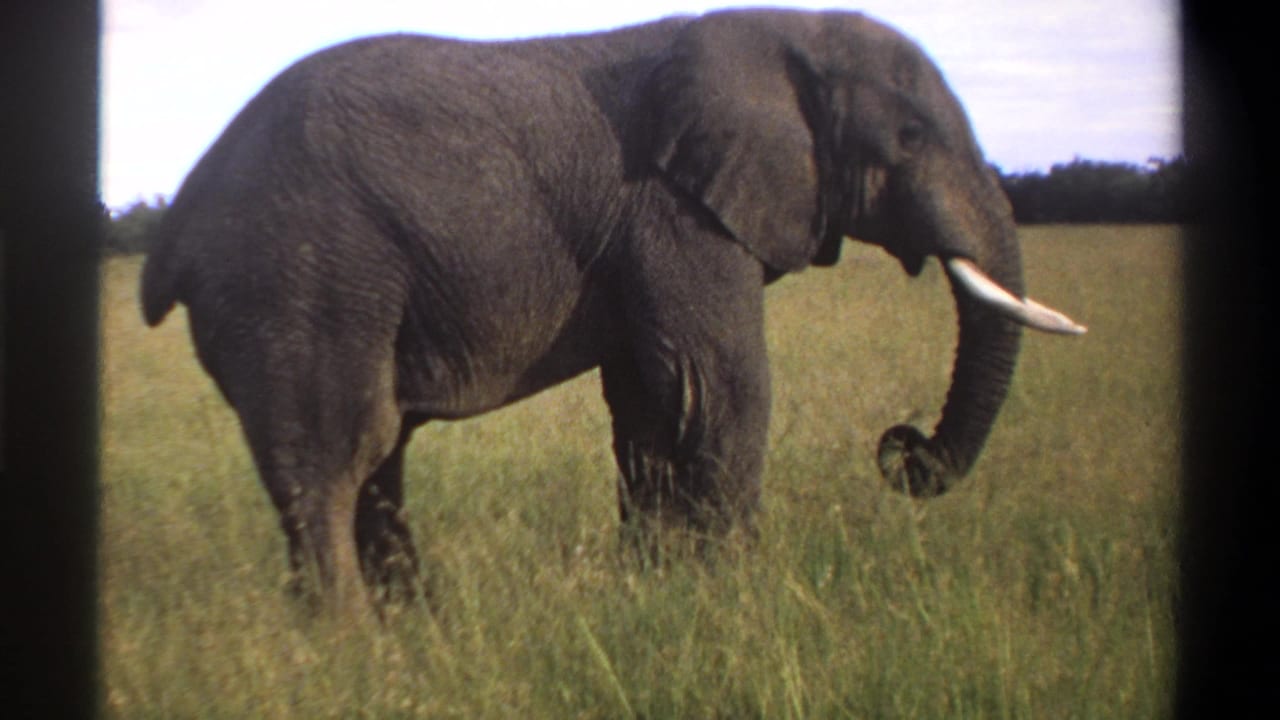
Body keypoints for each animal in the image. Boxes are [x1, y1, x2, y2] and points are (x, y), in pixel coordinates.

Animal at [141, 9, 1084, 614]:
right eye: (911, 139)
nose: (903, 448)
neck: (783, 34)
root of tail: (178, 216)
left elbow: (651, 404)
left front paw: (655, 591)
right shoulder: (673, 212)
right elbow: (719, 387)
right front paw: (739, 602)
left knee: (375, 461)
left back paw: (411, 629)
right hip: (300, 278)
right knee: (337, 454)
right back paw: (352, 646)